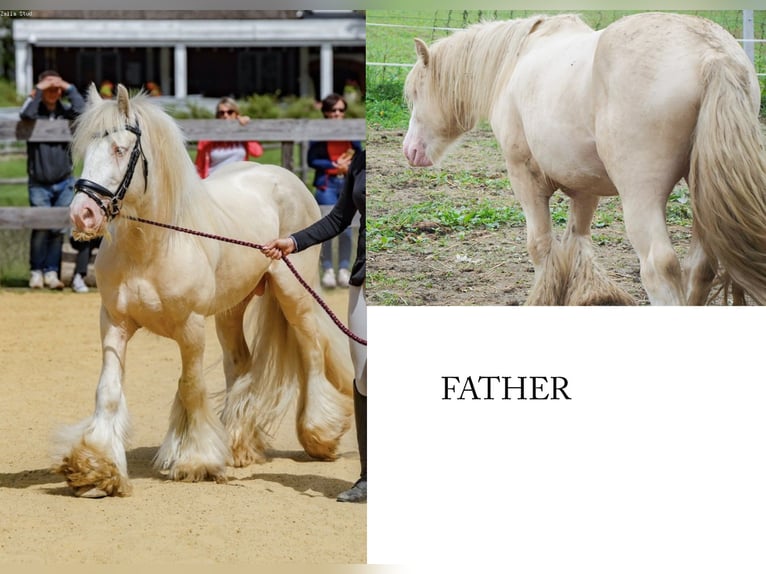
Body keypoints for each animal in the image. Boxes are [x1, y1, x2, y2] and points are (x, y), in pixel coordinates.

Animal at [60, 83, 354, 498]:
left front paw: (195, 461)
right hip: (231, 310)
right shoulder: (114, 323)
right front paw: (96, 469)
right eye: (87, 150)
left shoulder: (191, 327)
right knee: (240, 364)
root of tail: (284, 177)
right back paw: (238, 445)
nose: (82, 215)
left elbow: (190, 386)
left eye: (119, 149)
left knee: (311, 350)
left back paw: (319, 436)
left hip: (293, 293)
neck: (153, 246)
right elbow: (108, 391)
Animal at [402, 11, 766, 306]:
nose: (410, 151)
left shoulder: (523, 176)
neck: (518, 57)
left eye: (416, 93)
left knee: (659, 267)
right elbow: (576, 241)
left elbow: (541, 246)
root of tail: (711, 55)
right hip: (700, 194)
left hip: (641, 196)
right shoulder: (585, 187)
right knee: (700, 268)